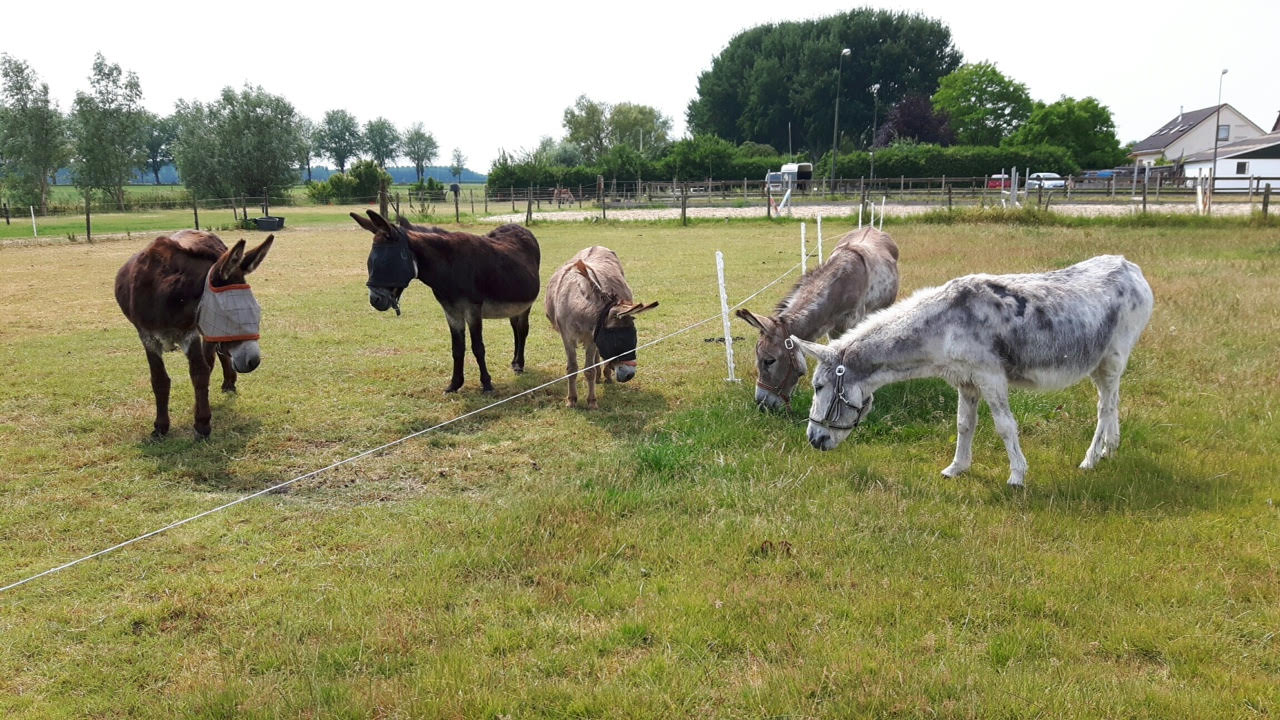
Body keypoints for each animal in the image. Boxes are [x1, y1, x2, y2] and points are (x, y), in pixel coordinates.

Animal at [115, 229, 275, 435]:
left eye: (257, 309)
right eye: (228, 313)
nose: (253, 362)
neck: (168, 293)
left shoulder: (192, 335)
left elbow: (200, 373)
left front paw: (202, 423)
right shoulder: (147, 337)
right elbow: (159, 380)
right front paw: (161, 427)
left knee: (214, 358)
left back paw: (227, 384)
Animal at [353, 210, 542, 392]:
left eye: (387, 262)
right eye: (369, 262)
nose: (375, 300)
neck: (449, 267)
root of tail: (519, 227)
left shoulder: (473, 309)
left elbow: (478, 347)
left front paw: (486, 384)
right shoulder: (451, 311)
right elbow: (457, 348)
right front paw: (455, 384)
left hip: (526, 304)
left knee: (522, 330)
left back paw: (519, 364)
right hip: (514, 305)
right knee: (515, 329)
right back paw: (515, 362)